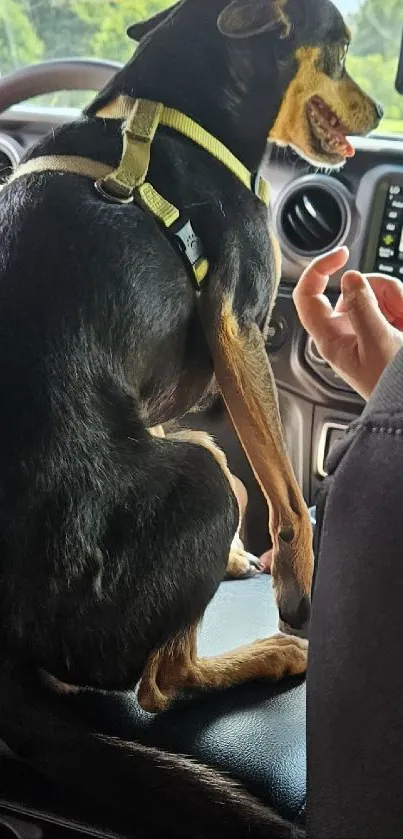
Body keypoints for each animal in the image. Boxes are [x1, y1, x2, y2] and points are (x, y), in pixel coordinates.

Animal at [0, 1, 382, 839]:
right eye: (340, 49)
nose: (378, 115)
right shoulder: (238, 322)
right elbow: (288, 498)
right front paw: (300, 587)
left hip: (197, 454)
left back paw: (229, 565)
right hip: (203, 472)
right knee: (159, 684)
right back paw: (267, 654)